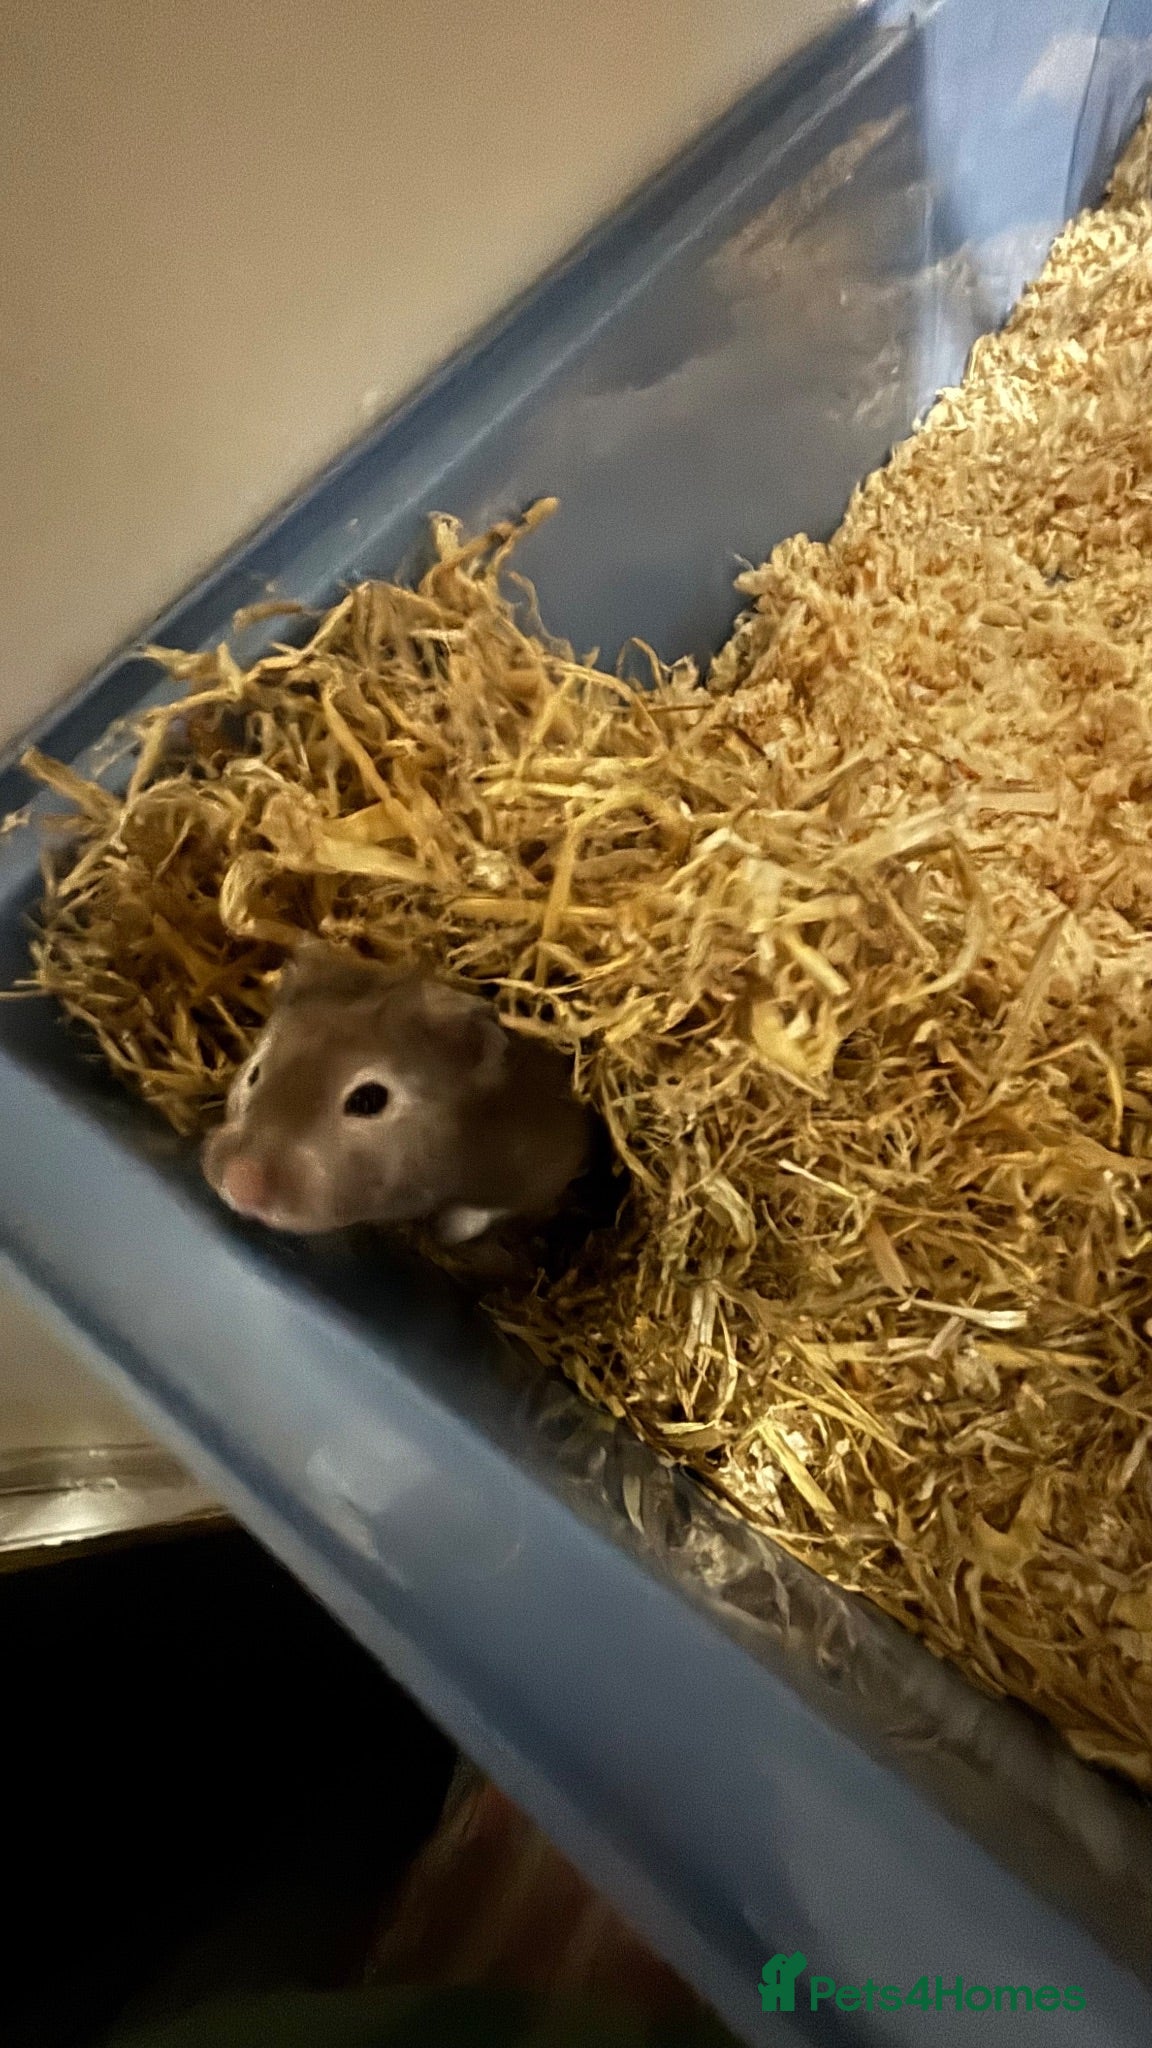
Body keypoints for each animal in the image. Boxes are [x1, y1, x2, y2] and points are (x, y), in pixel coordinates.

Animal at [201, 938, 594, 1246]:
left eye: (368, 1100)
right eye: (254, 1073)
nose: (238, 1183)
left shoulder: (548, 1159)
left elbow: (481, 1213)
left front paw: (444, 1230)